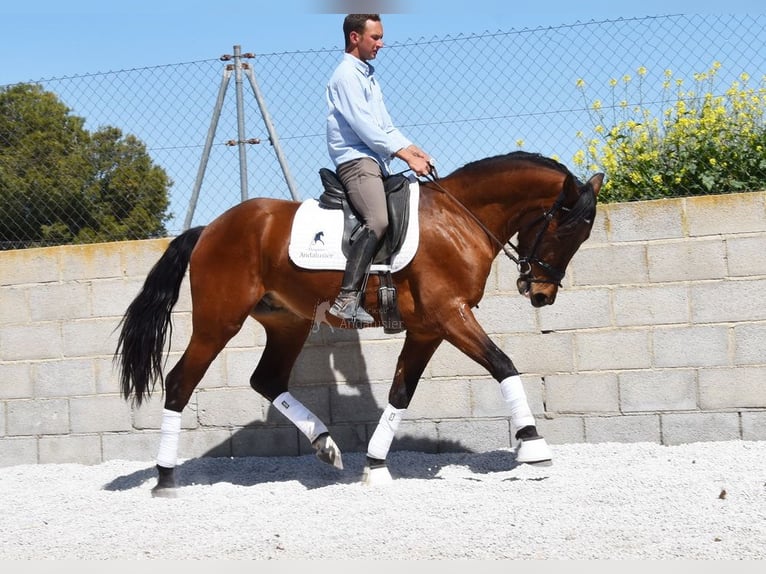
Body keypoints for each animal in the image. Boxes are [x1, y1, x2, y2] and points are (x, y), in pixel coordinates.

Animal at [115, 150, 604, 496]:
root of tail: (210, 229)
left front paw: (375, 466)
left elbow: (401, 393)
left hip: (287, 323)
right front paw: (533, 446)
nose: (541, 294)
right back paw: (165, 479)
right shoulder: (451, 315)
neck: (458, 219)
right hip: (218, 322)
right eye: (564, 231)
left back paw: (325, 444)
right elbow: (504, 365)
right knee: (180, 382)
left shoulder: (429, 329)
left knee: (267, 379)